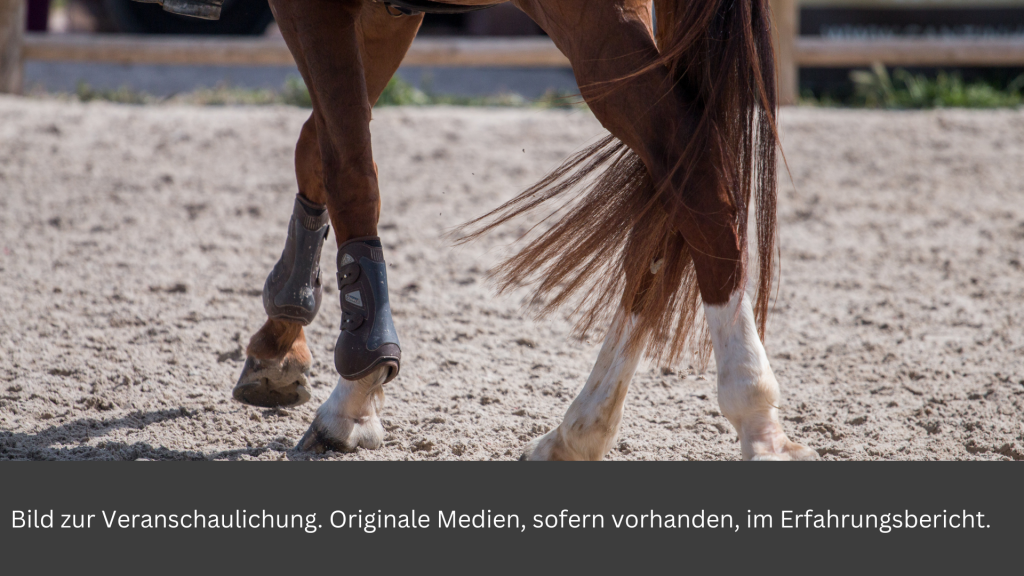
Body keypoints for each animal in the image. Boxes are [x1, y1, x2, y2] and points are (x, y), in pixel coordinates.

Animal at [145, 0, 818, 460]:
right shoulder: (389, 12)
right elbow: (318, 144)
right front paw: (285, 338)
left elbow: (347, 164)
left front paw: (355, 381)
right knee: (664, 209)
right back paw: (578, 432)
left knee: (695, 178)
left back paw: (755, 421)